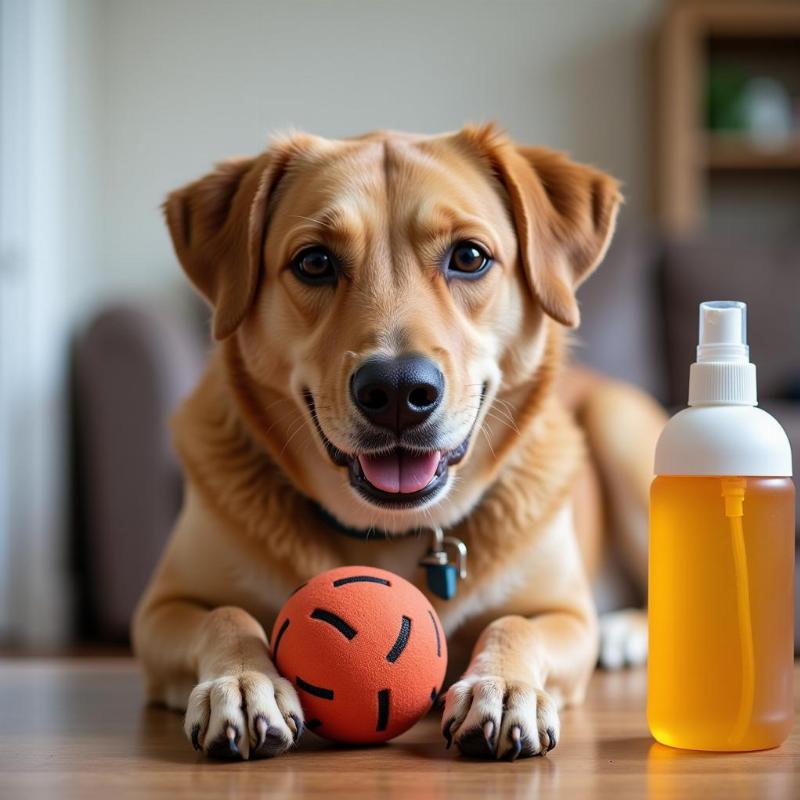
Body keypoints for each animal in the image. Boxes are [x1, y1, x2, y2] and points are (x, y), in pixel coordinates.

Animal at [134, 125, 664, 764]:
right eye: (314, 261)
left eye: (469, 257)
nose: (395, 392)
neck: (391, 532)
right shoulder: (161, 610)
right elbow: (227, 614)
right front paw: (241, 682)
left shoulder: (566, 615)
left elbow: (515, 624)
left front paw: (502, 686)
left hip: (621, 428)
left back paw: (624, 631)